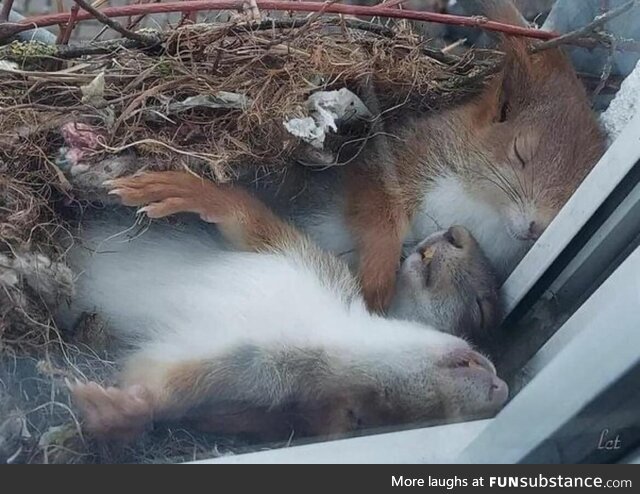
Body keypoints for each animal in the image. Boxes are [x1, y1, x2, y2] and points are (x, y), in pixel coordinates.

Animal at [63, 172, 504, 442]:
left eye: (366, 415)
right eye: (480, 312)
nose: (500, 389)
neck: (327, 328)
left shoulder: (243, 374)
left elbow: (161, 384)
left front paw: (121, 411)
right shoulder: (305, 259)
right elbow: (248, 220)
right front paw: (187, 190)